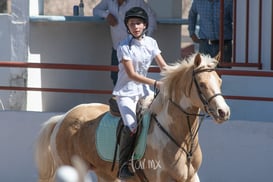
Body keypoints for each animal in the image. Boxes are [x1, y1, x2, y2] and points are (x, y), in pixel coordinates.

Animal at [35, 53, 228, 181]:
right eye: (201, 84)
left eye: (220, 82)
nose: (223, 112)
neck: (181, 139)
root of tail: (62, 118)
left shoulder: (191, 177)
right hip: (74, 170)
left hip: (104, 174)